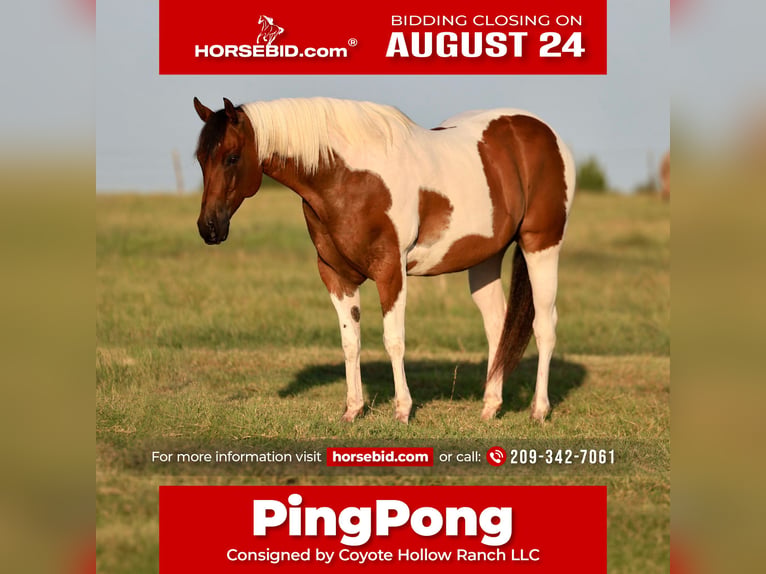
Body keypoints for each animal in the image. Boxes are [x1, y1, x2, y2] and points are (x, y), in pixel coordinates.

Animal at [192, 96, 575, 424]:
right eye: (199, 158)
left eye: (231, 157)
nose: (209, 228)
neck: (346, 177)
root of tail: (545, 133)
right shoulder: (336, 275)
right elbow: (350, 342)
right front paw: (353, 410)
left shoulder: (391, 270)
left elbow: (394, 339)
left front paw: (402, 410)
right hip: (485, 256)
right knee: (498, 325)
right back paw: (490, 407)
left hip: (542, 244)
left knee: (545, 325)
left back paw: (539, 410)